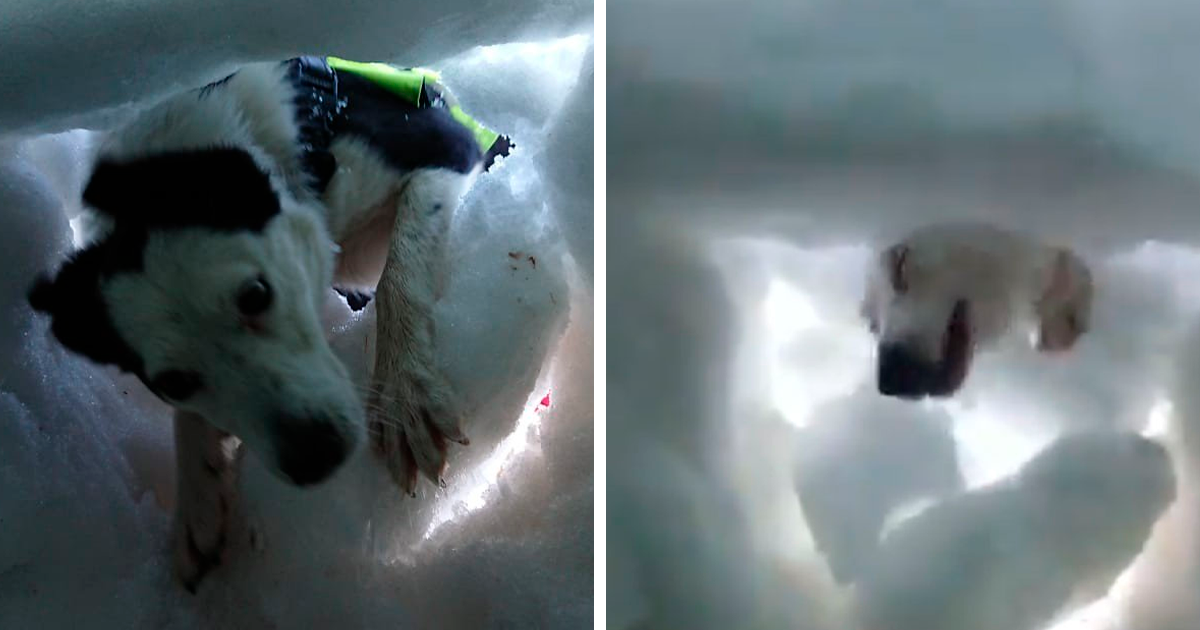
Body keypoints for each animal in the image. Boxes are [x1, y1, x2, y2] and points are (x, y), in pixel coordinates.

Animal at [28, 55, 506, 590]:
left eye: (256, 294)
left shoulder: (442, 148)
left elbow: (398, 271)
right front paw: (197, 494)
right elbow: (190, 420)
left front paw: (404, 387)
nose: (314, 457)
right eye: (171, 383)